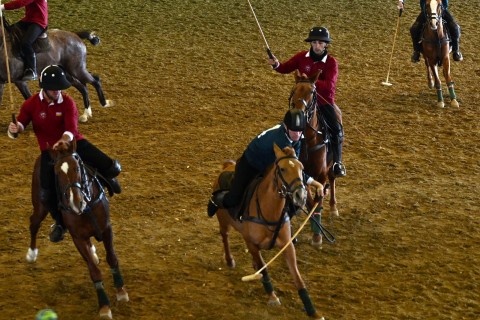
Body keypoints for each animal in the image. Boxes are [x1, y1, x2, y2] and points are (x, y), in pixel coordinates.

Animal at [25, 141, 127, 320]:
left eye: (77, 168)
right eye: (57, 172)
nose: (75, 202)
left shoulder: (106, 228)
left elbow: (112, 258)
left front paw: (121, 290)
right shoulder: (78, 238)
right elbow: (94, 271)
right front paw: (104, 306)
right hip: (40, 206)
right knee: (33, 223)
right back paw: (31, 253)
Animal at [213, 144, 322, 318]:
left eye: (301, 168)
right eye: (282, 169)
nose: (300, 195)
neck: (269, 210)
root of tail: (227, 167)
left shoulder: (287, 245)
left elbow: (297, 276)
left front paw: (312, 310)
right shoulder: (251, 243)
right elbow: (264, 269)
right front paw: (272, 297)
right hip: (223, 221)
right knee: (225, 236)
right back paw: (229, 260)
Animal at [286, 69, 340, 245]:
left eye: (312, 92)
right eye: (295, 90)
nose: (299, 113)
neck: (309, 140)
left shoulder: (321, 174)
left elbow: (318, 202)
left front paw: (317, 235)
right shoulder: (303, 174)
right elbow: (310, 203)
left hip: (332, 165)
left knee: (333, 178)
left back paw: (333, 207)